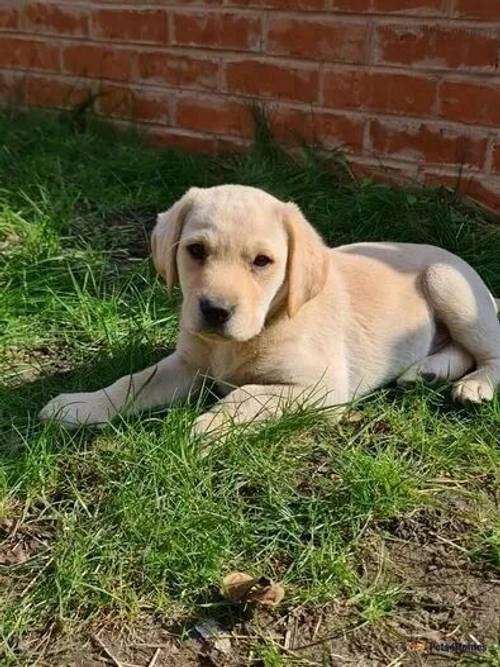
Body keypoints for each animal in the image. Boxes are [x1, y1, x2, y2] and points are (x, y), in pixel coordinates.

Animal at [40, 184, 500, 434]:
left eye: (262, 262)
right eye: (195, 251)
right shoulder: (187, 365)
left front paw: (207, 427)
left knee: (489, 353)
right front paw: (81, 406)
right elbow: (131, 382)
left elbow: (247, 395)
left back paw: (474, 386)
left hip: (447, 282)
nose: (215, 311)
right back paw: (426, 371)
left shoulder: (322, 388)